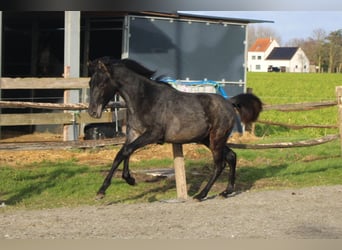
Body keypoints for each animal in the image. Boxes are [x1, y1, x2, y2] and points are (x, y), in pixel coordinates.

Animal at [87, 57, 262, 201]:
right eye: (90, 83)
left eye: (101, 83)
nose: (92, 112)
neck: (145, 98)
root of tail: (229, 102)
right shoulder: (133, 133)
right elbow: (122, 154)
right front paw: (121, 182)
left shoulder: (152, 134)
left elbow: (126, 151)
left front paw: (108, 189)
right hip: (207, 139)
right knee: (231, 156)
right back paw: (227, 191)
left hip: (216, 139)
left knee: (219, 165)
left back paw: (201, 195)